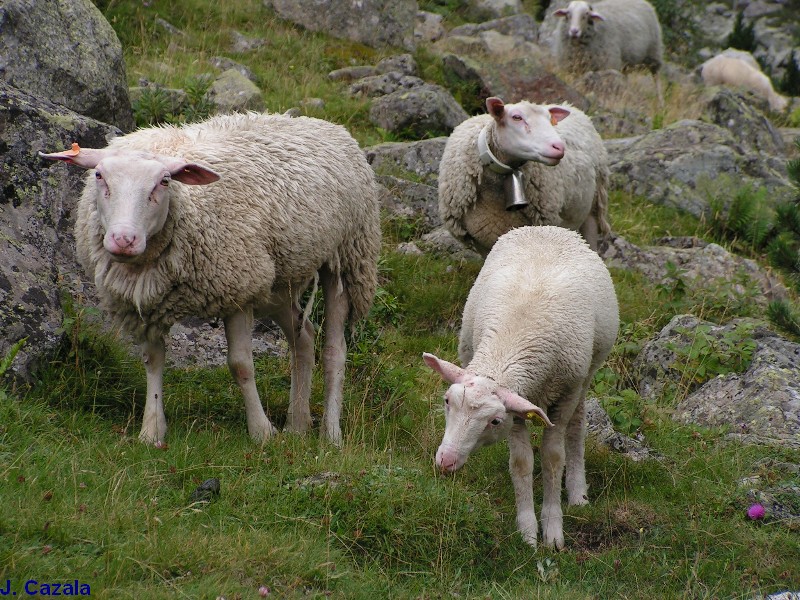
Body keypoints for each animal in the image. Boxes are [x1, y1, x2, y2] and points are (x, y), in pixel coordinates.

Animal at [40, 111, 382, 446]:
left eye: (164, 182)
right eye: (99, 176)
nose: (124, 239)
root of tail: (327, 124)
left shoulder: (238, 289)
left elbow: (241, 365)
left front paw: (261, 432)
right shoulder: (149, 300)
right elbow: (153, 359)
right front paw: (152, 431)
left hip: (348, 255)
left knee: (334, 350)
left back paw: (330, 434)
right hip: (276, 278)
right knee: (304, 337)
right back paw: (297, 425)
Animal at [424, 225, 620, 548]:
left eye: (494, 421)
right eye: (447, 401)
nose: (445, 461)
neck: (511, 344)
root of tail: (549, 227)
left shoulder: (563, 397)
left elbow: (553, 458)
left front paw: (552, 529)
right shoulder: (518, 405)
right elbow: (521, 463)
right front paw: (527, 531)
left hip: (587, 375)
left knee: (577, 426)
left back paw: (577, 491)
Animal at [438, 95, 608, 254]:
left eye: (549, 120)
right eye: (516, 117)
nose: (559, 147)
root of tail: (573, 108)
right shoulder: (480, 240)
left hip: (593, 205)